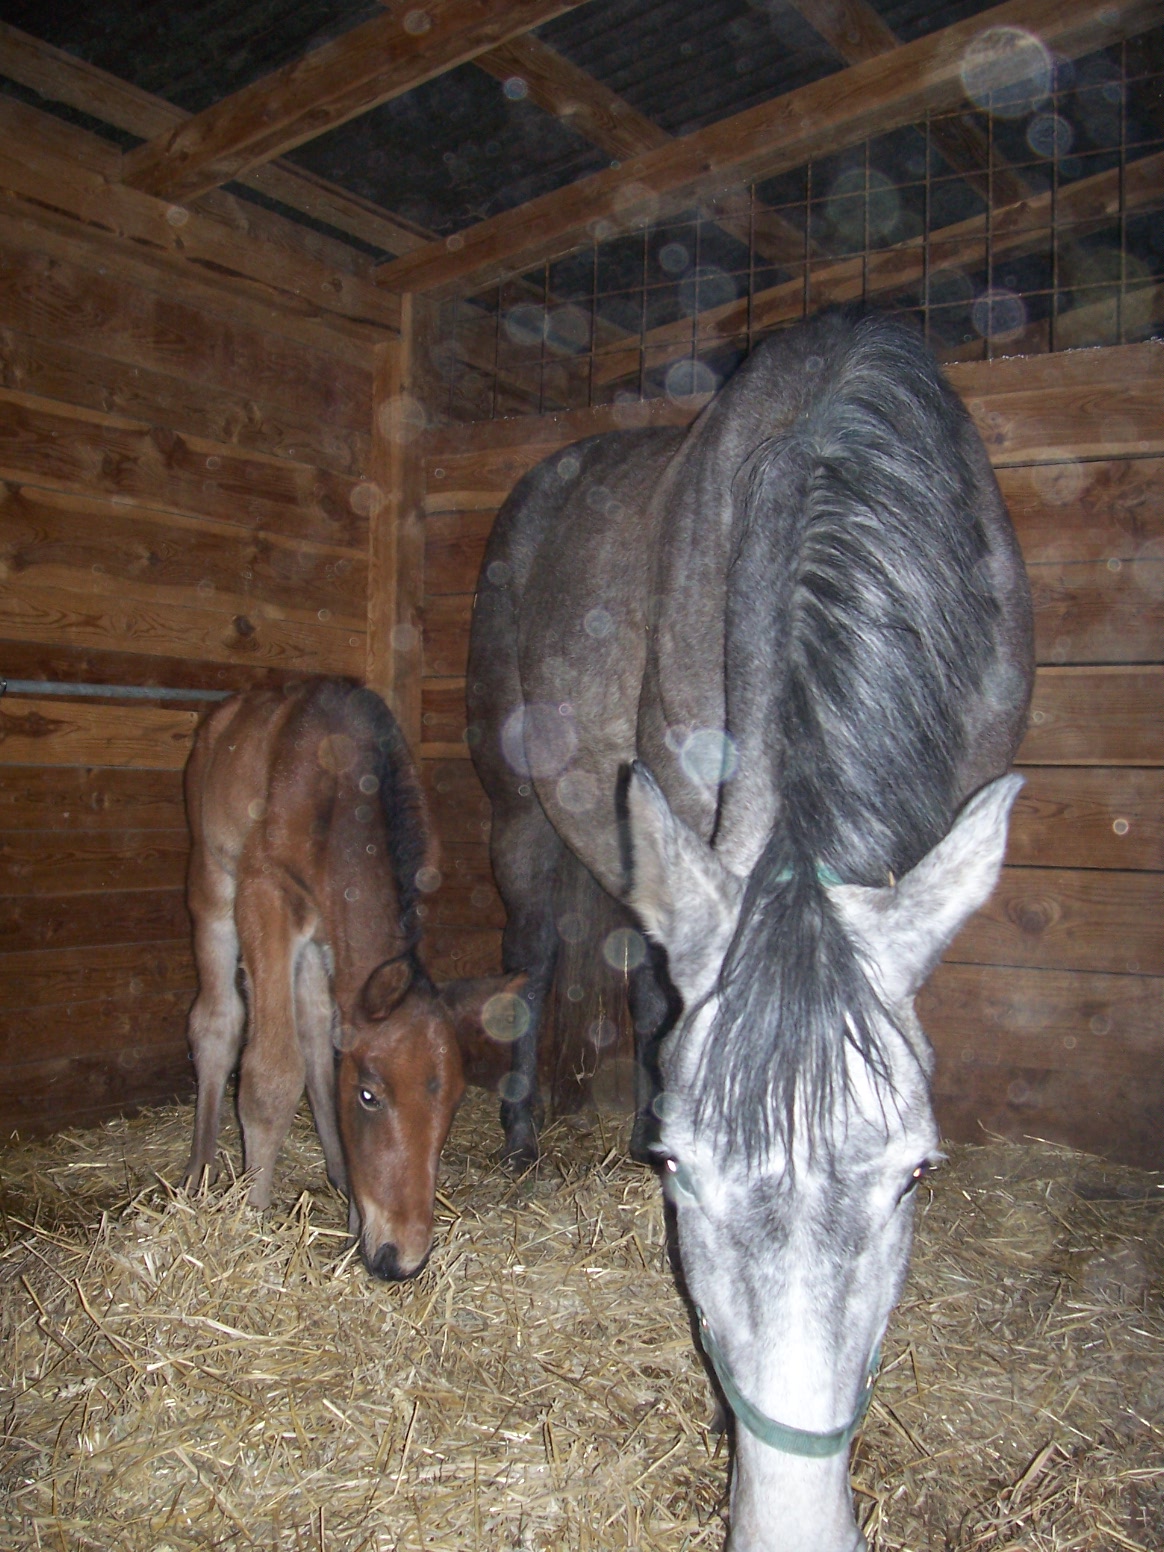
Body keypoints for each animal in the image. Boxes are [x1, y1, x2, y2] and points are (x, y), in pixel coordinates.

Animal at [465, 308, 1030, 1545]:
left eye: (917, 1173)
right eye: (683, 1164)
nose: (790, 1520)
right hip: (523, 812)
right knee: (537, 958)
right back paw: (523, 1135)